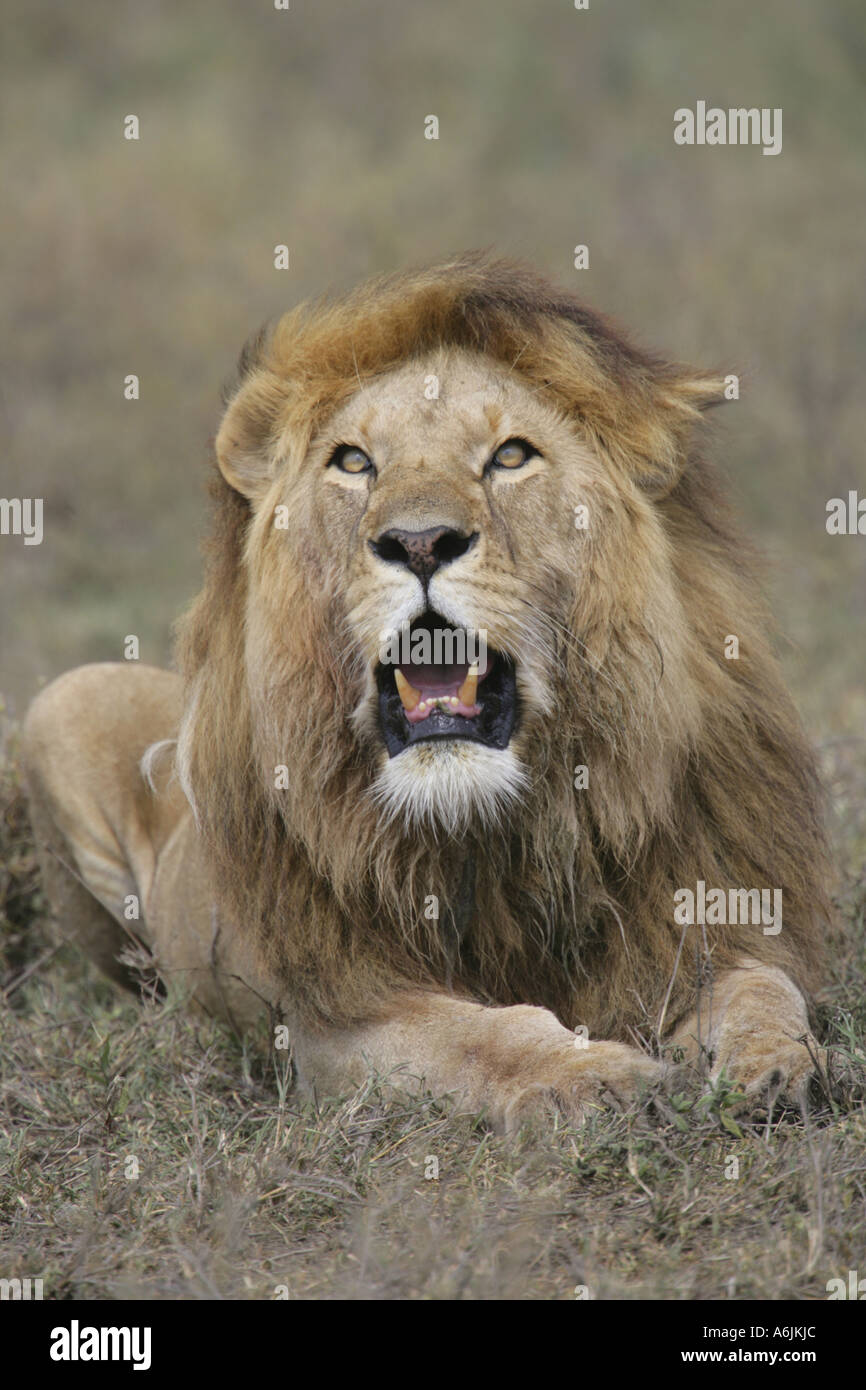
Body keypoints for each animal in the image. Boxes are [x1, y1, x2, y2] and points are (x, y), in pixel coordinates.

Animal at [22, 253, 830, 1132]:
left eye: (510, 456)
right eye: (353, 463)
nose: (418, 541)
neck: (498, 829)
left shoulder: (705, 919)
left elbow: (763, 987)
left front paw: (774, 1065)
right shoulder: (336, 1020)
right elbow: (481, 1036)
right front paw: (597, 1079)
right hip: (61, 706)